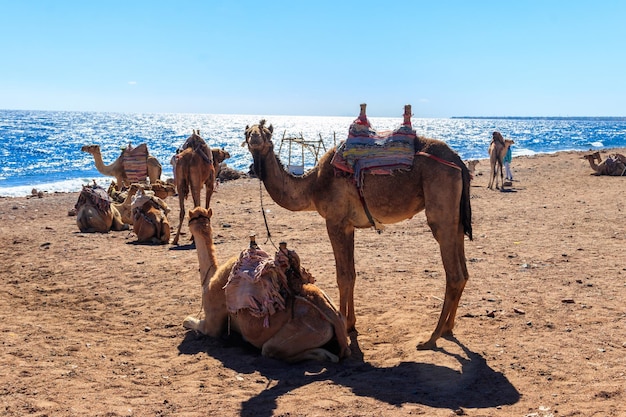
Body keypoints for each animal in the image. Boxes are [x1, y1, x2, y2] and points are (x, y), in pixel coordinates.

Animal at [182, 206, 352, 362]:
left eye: (189, 219)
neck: (210, 278)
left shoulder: (212, 323)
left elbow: (188, 321)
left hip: (303, 333)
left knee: (271, 350)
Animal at [241, 103, 470, 348]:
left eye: (267, 134)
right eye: (248, 132)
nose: (255, 138)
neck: (312, 185)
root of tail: (459, 161)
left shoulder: (334, 221)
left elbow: (342, 276)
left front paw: (342, 324)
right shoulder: (348, 226)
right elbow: (351, 274)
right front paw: (351, 324)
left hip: (441, 209)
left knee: (454, 274)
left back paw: (431, 338)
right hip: (456, 218)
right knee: (464, 271)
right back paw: (447, 328)